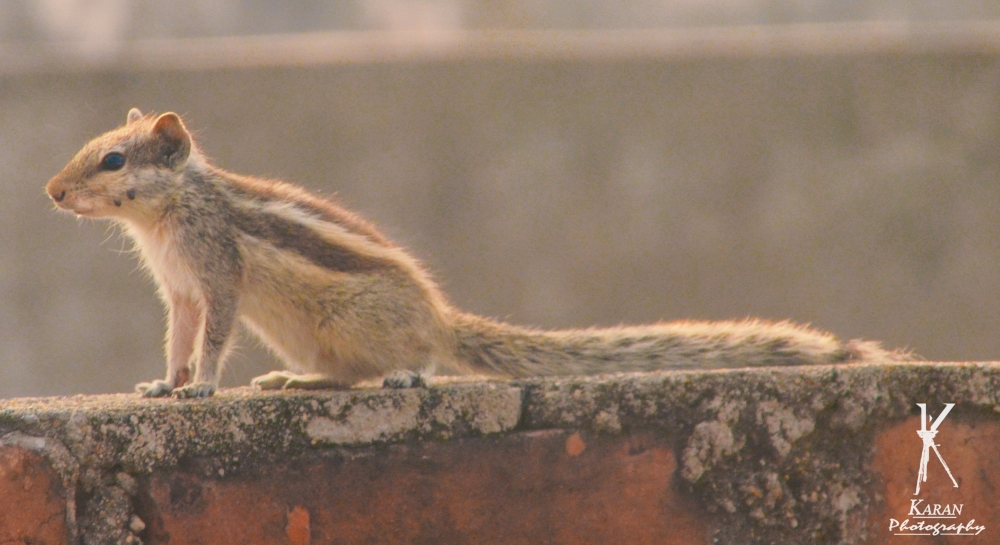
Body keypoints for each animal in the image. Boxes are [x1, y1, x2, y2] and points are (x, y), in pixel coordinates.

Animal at [46, 109, 905, 399]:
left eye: (113, 160)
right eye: (91, 149)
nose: (52, 191)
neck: (166, 215)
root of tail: (441, 314)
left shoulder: (217, 275)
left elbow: (215, 336)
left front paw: (199, 387)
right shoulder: (181, 291)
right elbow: (179, 337)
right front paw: (164, 383)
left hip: (365, 322)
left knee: (416, 357)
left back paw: (410, 371)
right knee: (340, 374)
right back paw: (298, 377)